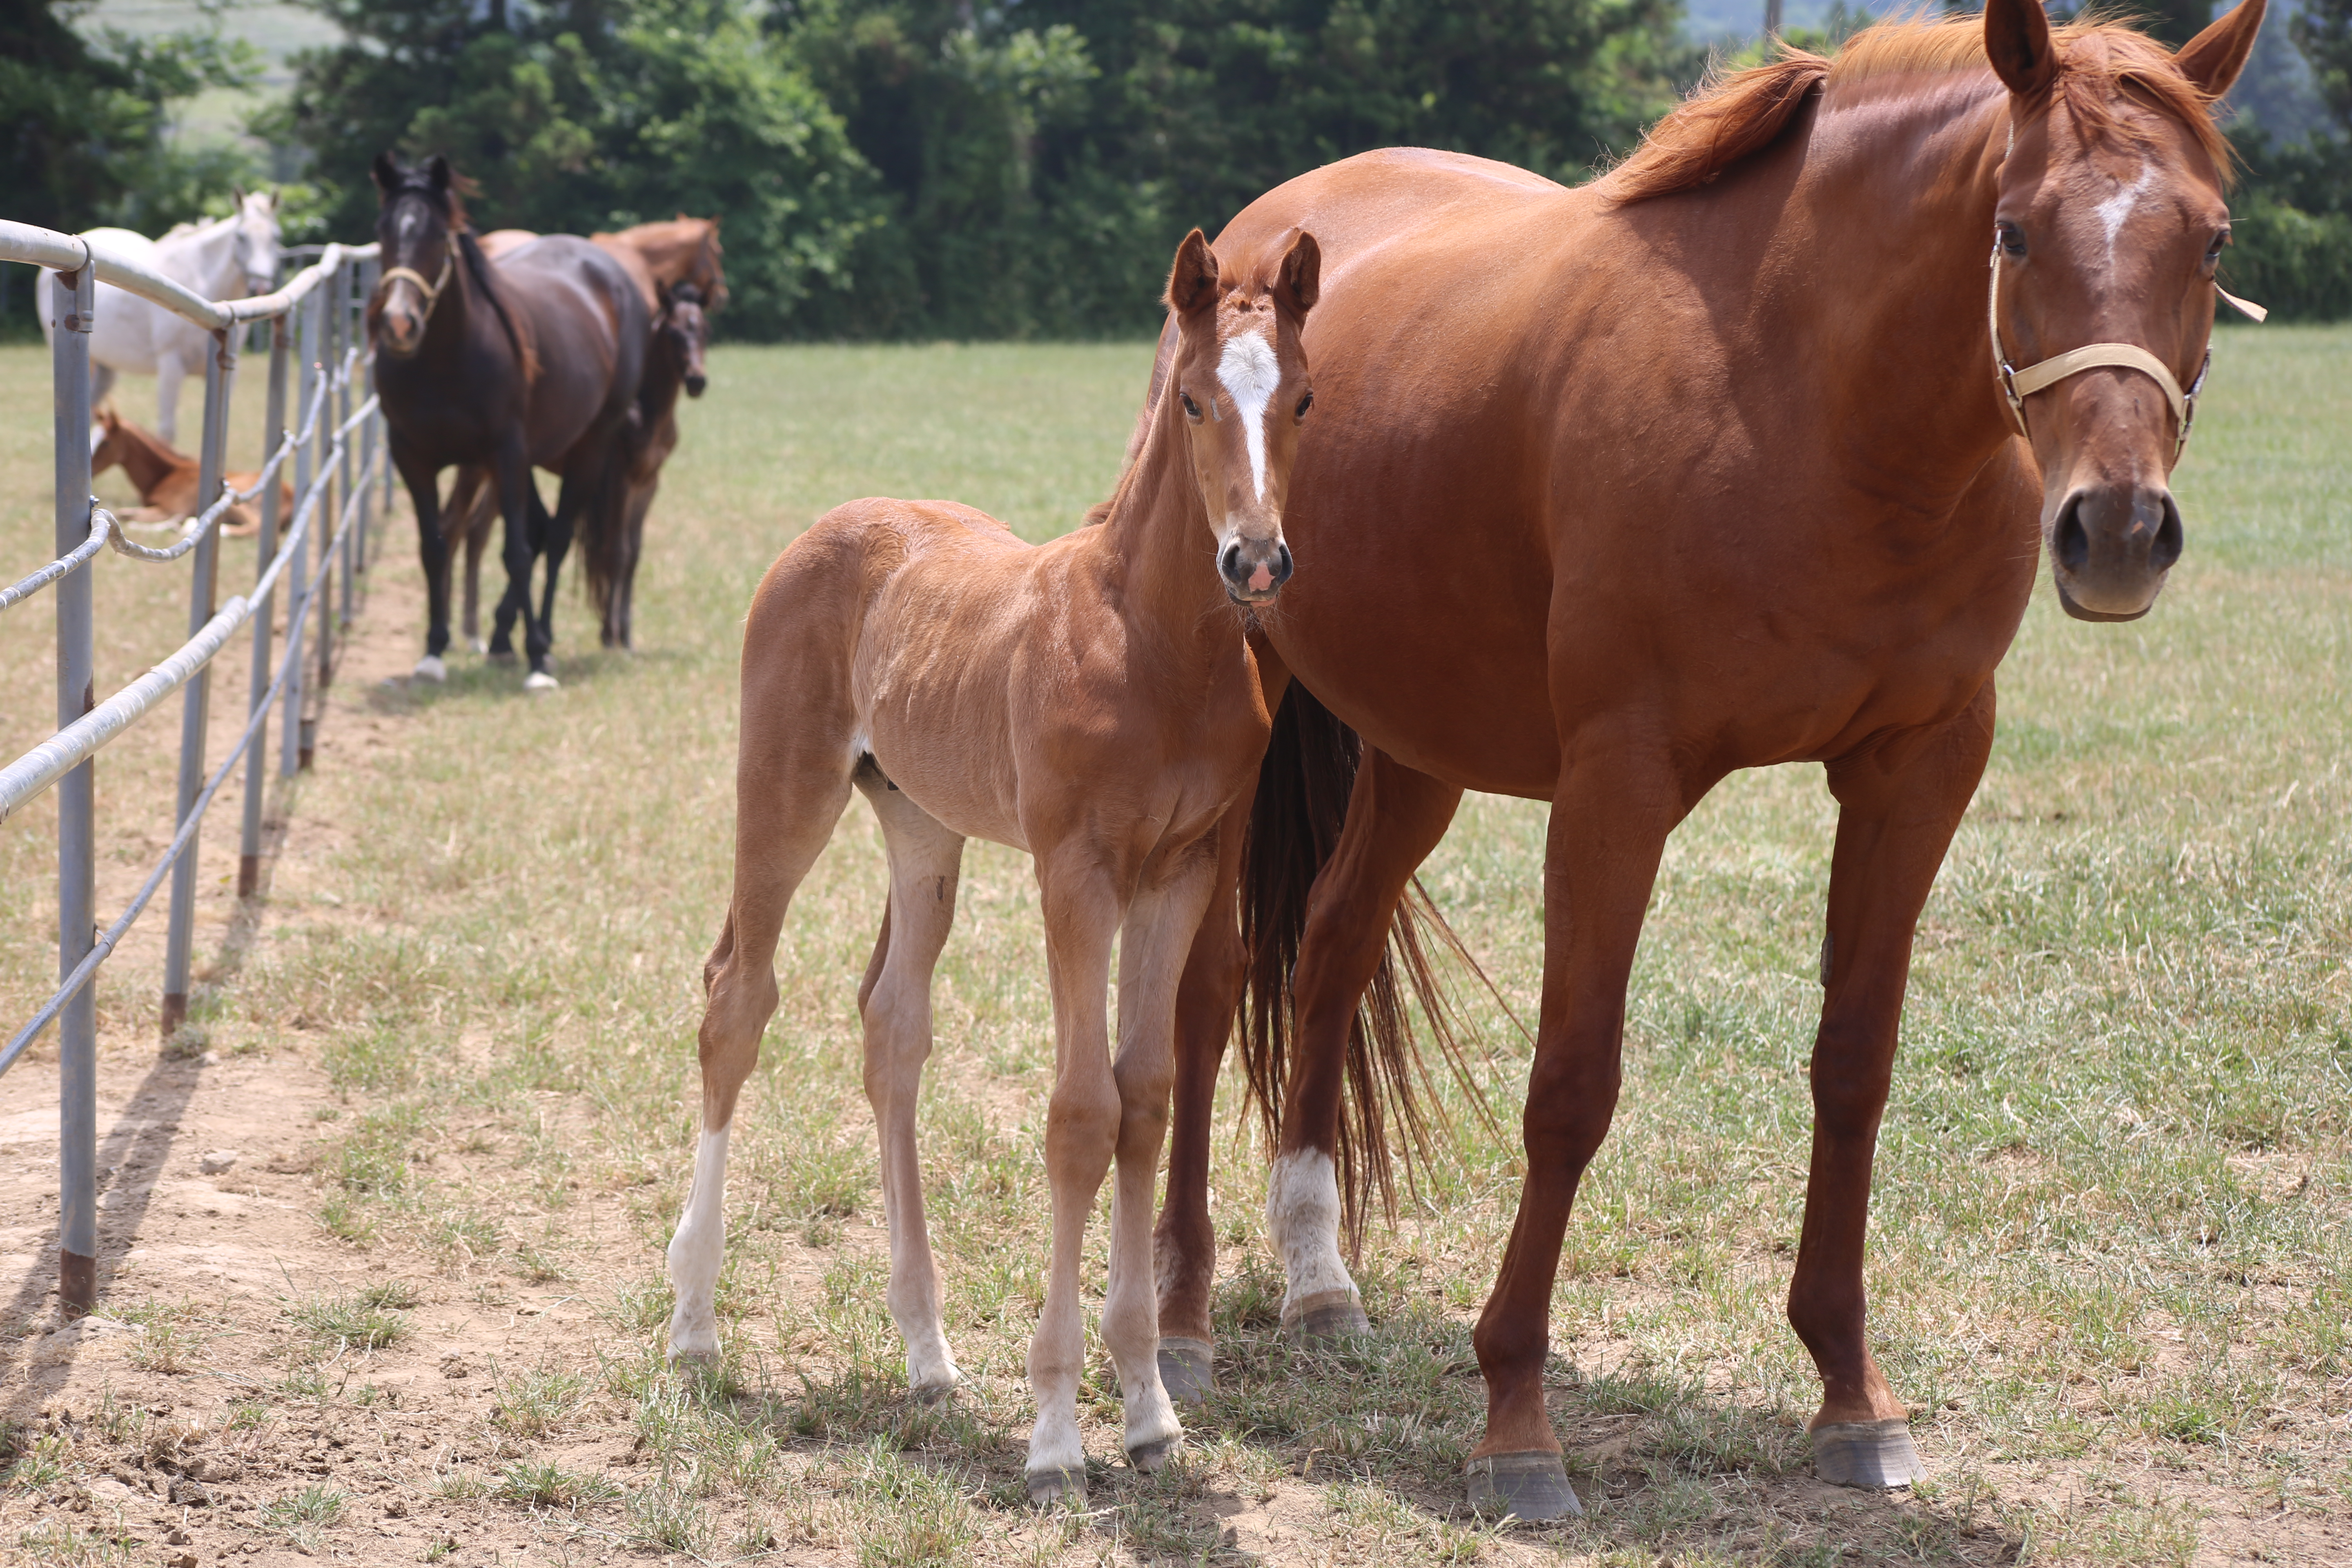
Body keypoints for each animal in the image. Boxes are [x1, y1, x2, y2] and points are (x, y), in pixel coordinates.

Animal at [44, 195, 282, 446]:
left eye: (276, 237)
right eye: (241, 237)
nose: (261, 285)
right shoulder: (171, 366)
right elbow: (167, 433)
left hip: (107, 365)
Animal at [367, 156, 649, 691]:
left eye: (440, 235)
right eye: (382, 232)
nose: (399, 324)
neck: (445, 363)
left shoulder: (505, 453)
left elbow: (516, 553)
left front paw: (536, 661)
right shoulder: (412, 457)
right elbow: (435, 547)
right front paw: (433, 653)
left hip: (586, 448)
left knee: (555, 539)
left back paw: (544, 645)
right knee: (540, 531)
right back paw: (503, 641)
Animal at [668, 227, 1326, 1504]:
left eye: (1304, 399)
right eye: (1192, 397)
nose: (1257, 560)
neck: (1154, 643)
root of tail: (833, 522)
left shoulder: (1177, 873)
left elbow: (1144, 1099)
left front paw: (1150, 1409)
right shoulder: (1076, 873)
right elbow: (1079, 1112)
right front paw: (1059, 1433)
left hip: (922, 826)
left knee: (891, 1027)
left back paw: (927, 1353)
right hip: (785, 793)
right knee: (736, 998)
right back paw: (693, 1323)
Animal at [1147, 0, 2267, 1523]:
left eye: (2209, 240)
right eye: (2018, 231)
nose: (2119, 531)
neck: (1804, 400)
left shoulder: (1920, 768)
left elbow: (1855, 1067)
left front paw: (1852, 1392)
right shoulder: (1619, 784)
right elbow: (1572, 1085)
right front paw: (1516, 1419)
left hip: (1420, 745)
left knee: (1328, 947)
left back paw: (1320, 1279)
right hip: (1247, 708)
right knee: (1207, 994)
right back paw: (1180, 1322)